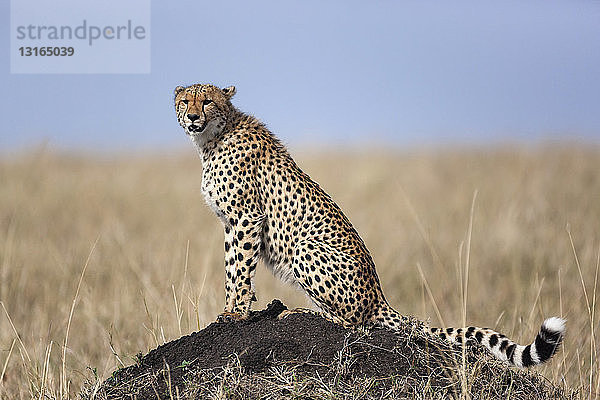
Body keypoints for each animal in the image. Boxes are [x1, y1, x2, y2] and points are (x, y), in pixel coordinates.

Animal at [172, 84, 564, 368]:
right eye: (185, 101)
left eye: (207, 102)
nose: (192, 117)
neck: (213, 138)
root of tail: (379, 296)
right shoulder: (231, 223)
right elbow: (232, 267)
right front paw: (234, 310)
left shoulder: (246, 218)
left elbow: (240, 269)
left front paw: (236, 313)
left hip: (305, 249)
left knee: (354, 323)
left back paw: (300, 312)